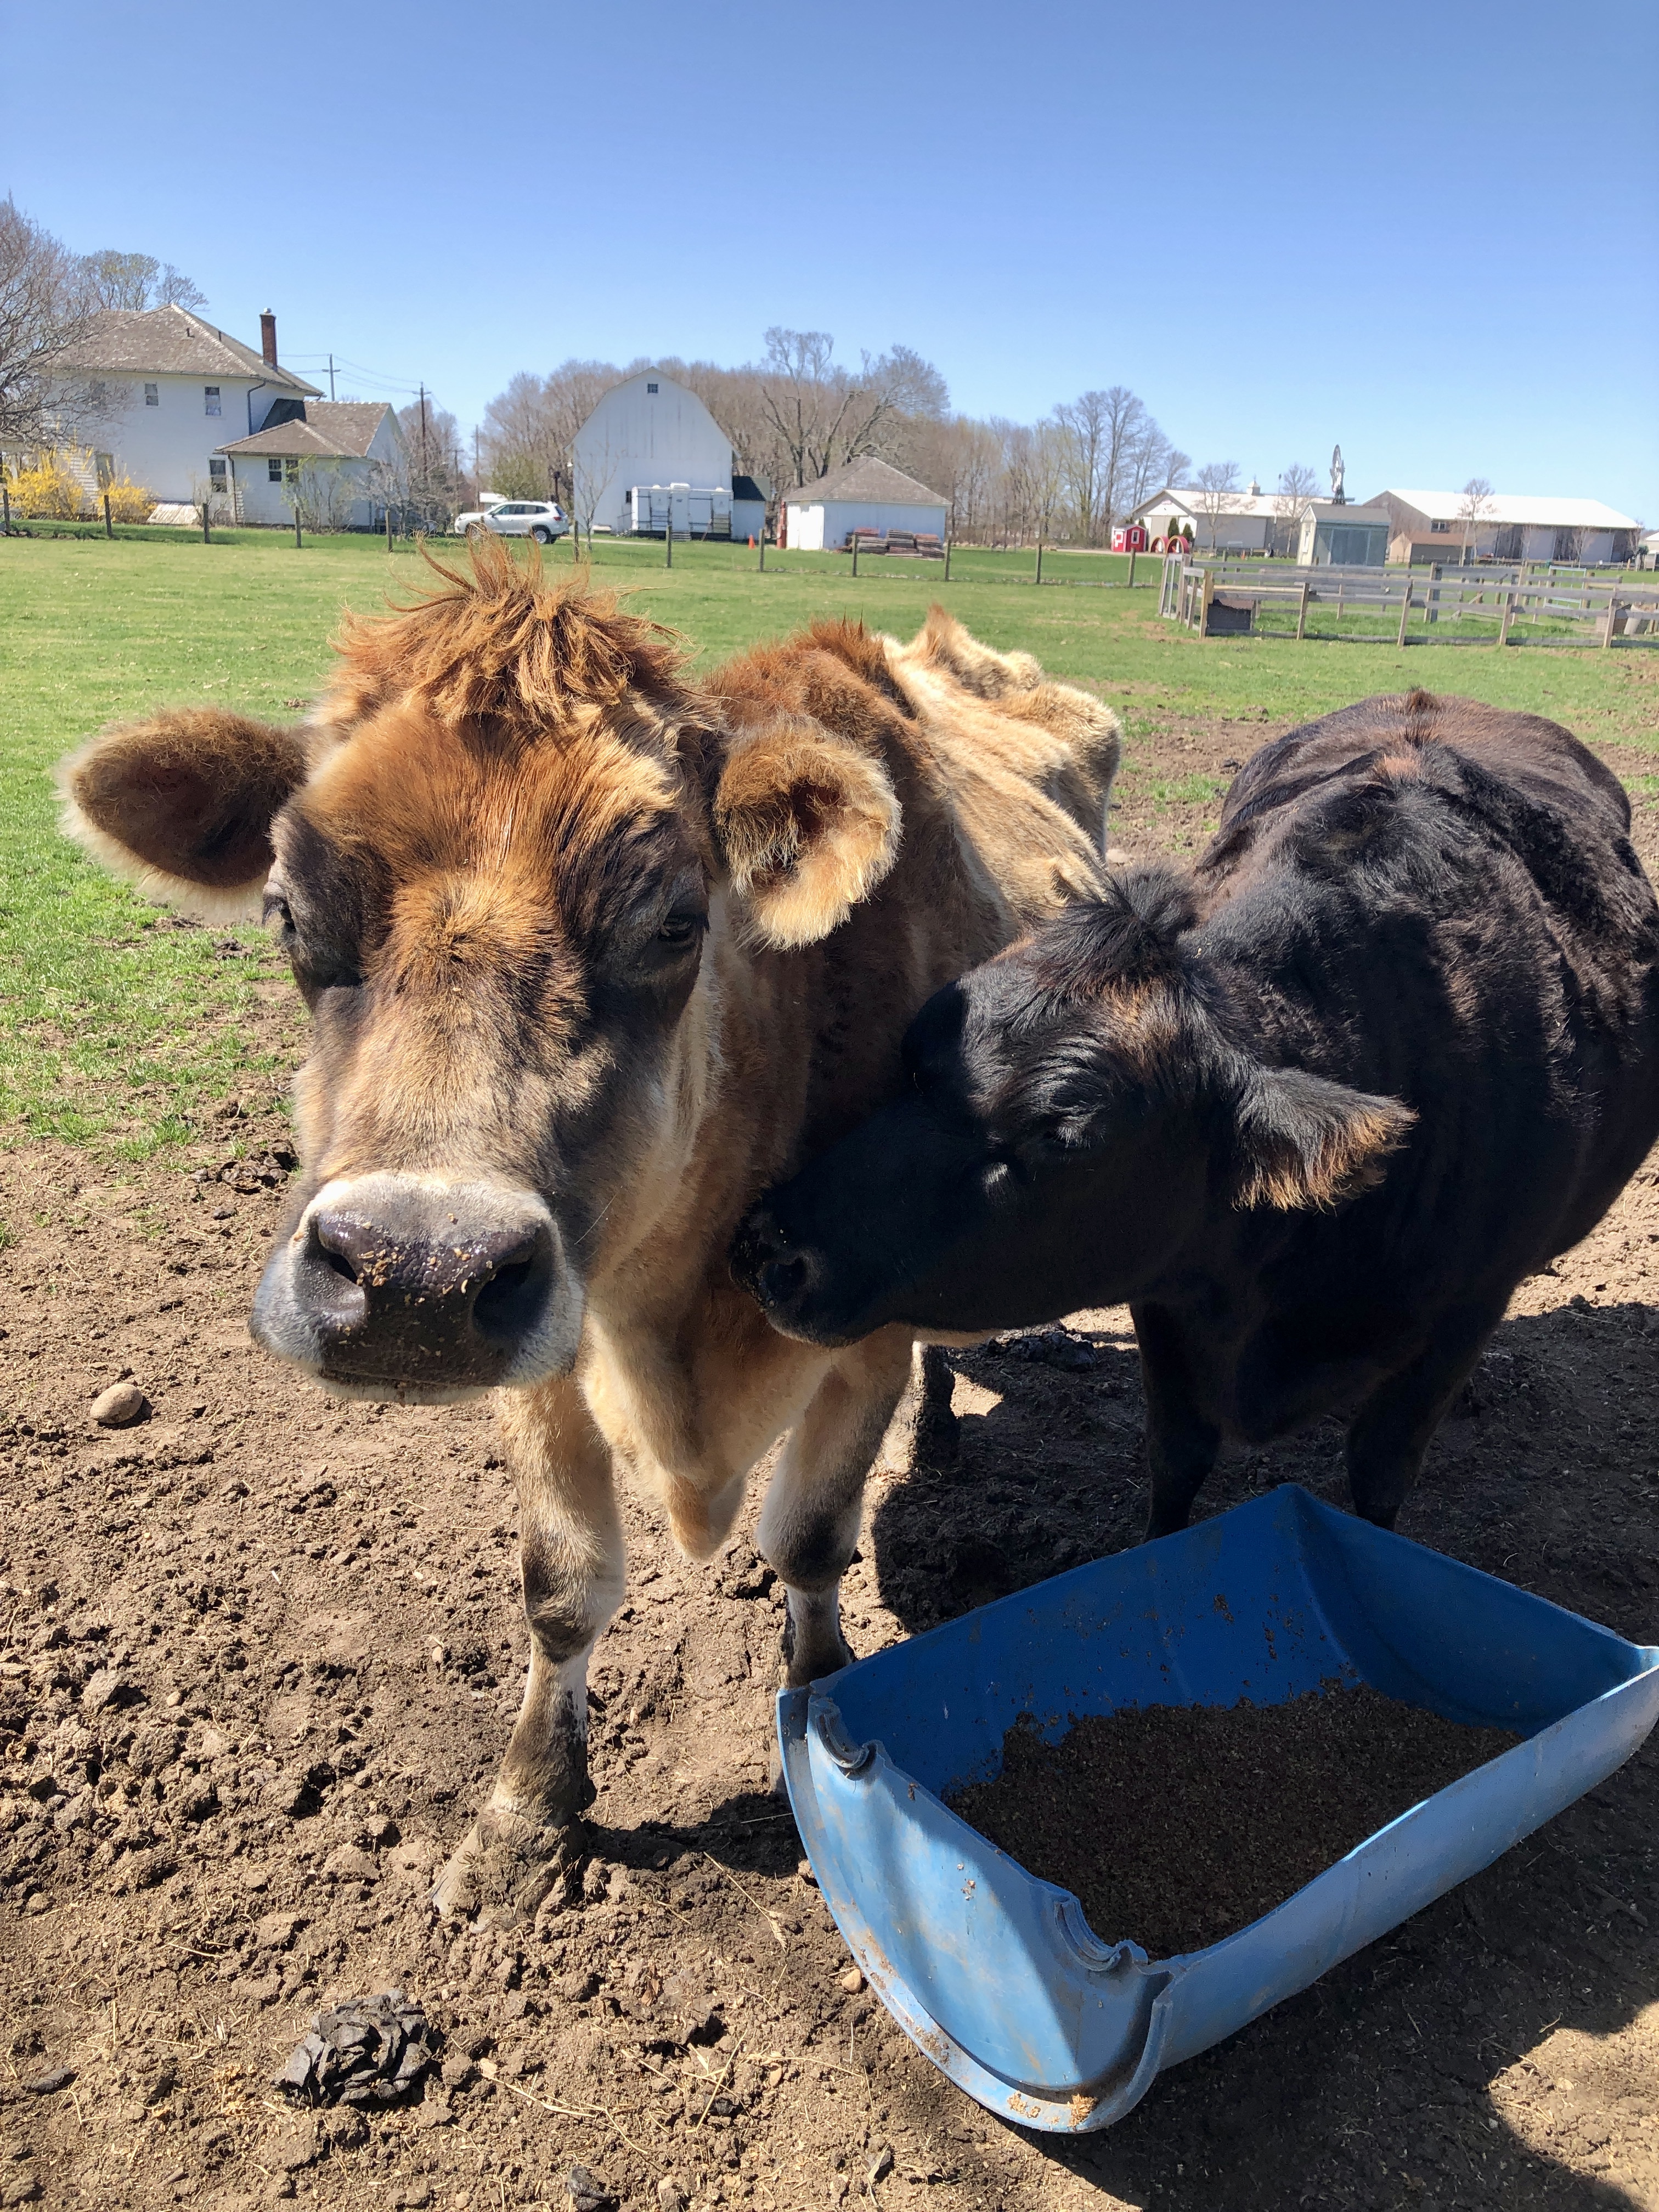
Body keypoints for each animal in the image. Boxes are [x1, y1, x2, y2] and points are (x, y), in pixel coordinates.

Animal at [58, 543, 1120, 1915]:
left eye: (675, 919)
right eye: (288, 913)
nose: (411, 1274)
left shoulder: (862, 1343)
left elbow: (810, 1543)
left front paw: (826, 1723)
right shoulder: (538, 1352)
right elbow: (564, 1592)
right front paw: (526, 1814)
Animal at [734, 692, 1659, 1538]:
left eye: (1063, 1138)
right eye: (915, 1053)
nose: (773, 1248)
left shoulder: (1461, 1316)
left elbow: (1380, 1476)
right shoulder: (1169, 1292)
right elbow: (1177, 1455)